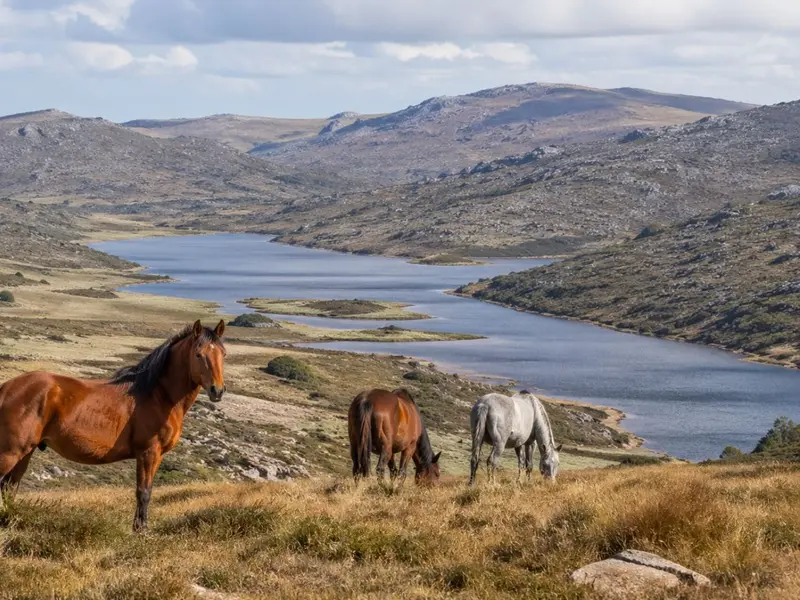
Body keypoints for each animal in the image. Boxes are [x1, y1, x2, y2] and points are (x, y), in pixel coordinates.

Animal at [0, 319, 226, 531]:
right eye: (198, 354)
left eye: (223, 354)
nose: (217, 390)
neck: (158, 395)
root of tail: (6, 388)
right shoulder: (148, 453)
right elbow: (143, 492)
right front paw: (141, 532)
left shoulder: (156, 456)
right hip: (11, 452)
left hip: (25, 452)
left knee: (9, 488)